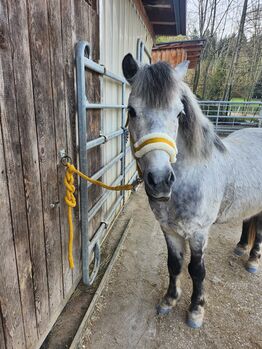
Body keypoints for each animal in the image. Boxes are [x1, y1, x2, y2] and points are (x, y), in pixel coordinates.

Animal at [122, 53, 262, 328]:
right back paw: (241, 247)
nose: (160, 180)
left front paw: (196, 310)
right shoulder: (169, 230)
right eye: (132, 111)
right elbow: (174, 265)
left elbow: (197, 271)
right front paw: (169, 300)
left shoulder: (198, 233)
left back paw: (253, 260)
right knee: (248, 220)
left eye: (179, 113)